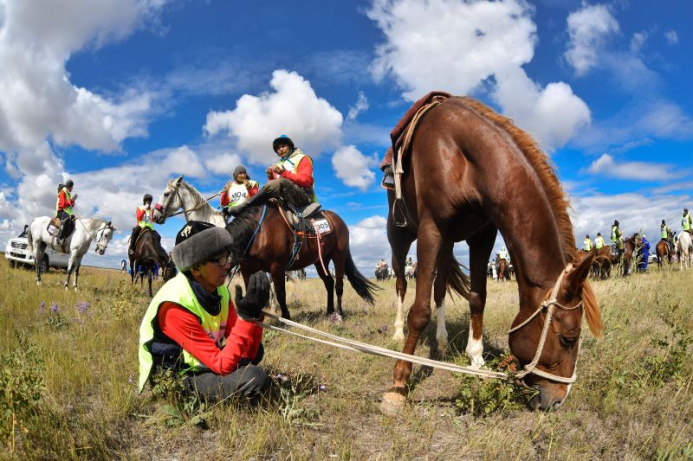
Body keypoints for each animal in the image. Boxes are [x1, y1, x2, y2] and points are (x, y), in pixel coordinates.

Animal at [153, 176, 378, 320]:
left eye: (166, 193)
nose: (156, 215)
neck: (256, 230)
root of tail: (338, 220)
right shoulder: (245, 268)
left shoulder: (277, 266)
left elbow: (280, 292)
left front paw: (285, 318)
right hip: (318, 260)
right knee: (329, 283)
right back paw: (328, 311)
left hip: (338, 257)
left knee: (339, 284)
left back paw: (339, 313)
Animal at [382, 96, 604, 410]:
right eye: (568, 338)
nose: (559, 400)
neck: (462, 155)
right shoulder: (430, 229)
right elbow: (420, 310)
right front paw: (400, 380)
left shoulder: (482, 235)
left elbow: (477, 298)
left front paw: (476, 360)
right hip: (400, 236)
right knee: (402, 284)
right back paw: (398, 333)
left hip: (446, 244)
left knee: (439, 289)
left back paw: (442, 341)